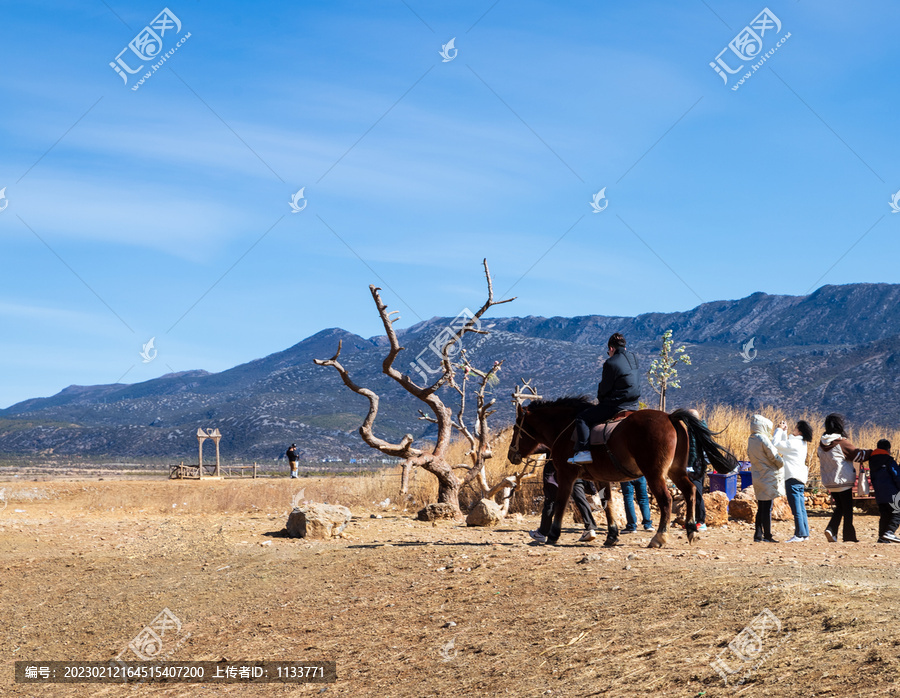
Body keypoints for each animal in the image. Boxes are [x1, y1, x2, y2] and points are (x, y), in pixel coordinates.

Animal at [510, 396, 736, 548]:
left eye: (515, 428)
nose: (511, 455)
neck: (565, 429)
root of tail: (670, 417)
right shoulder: (601, 478)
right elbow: (607, 504)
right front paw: (611, 536)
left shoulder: (566, 475)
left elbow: (560, 502)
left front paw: (553, 535)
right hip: (676, 471)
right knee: (690, 492)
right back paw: (691, 530)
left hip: (654, 474)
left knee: (666, 500)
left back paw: (659, 537)